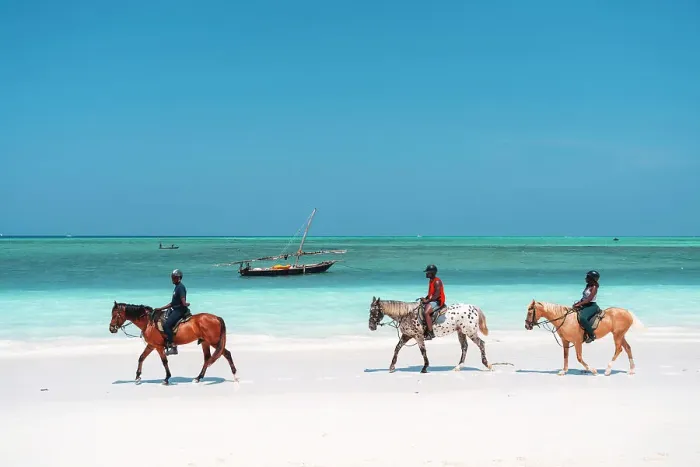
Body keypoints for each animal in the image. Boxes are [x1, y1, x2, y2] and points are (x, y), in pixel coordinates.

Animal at [109, 301, 237, 385]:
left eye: (115, 315)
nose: (111, 329)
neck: (149, 322)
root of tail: (216, 317)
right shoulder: (151, 345)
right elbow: (141, 358)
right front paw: (137, 377)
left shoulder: (158, 347)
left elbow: (164, 361)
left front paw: (166, 378)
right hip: (205, 342)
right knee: (207, 358)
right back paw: (198, 377)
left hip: (214, 342)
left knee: (226, 354)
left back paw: (235, 376)